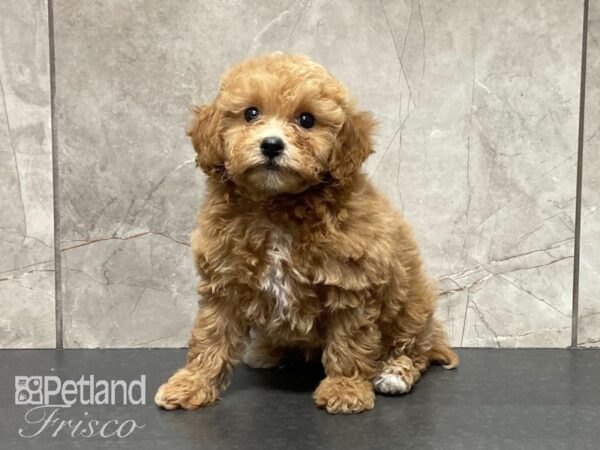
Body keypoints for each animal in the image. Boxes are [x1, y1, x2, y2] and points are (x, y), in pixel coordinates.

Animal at [156, 51, 460, 414]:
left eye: (306, 120)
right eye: (251, 113)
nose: (272, 145)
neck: (277, 206)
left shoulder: (351, 283)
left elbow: (349, 341)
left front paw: (345, 388)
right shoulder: (225, 281)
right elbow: (210, 336)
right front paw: (192, 383)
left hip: (411, 306)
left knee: (416, 350)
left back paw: (394, 372)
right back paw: (269, 352)